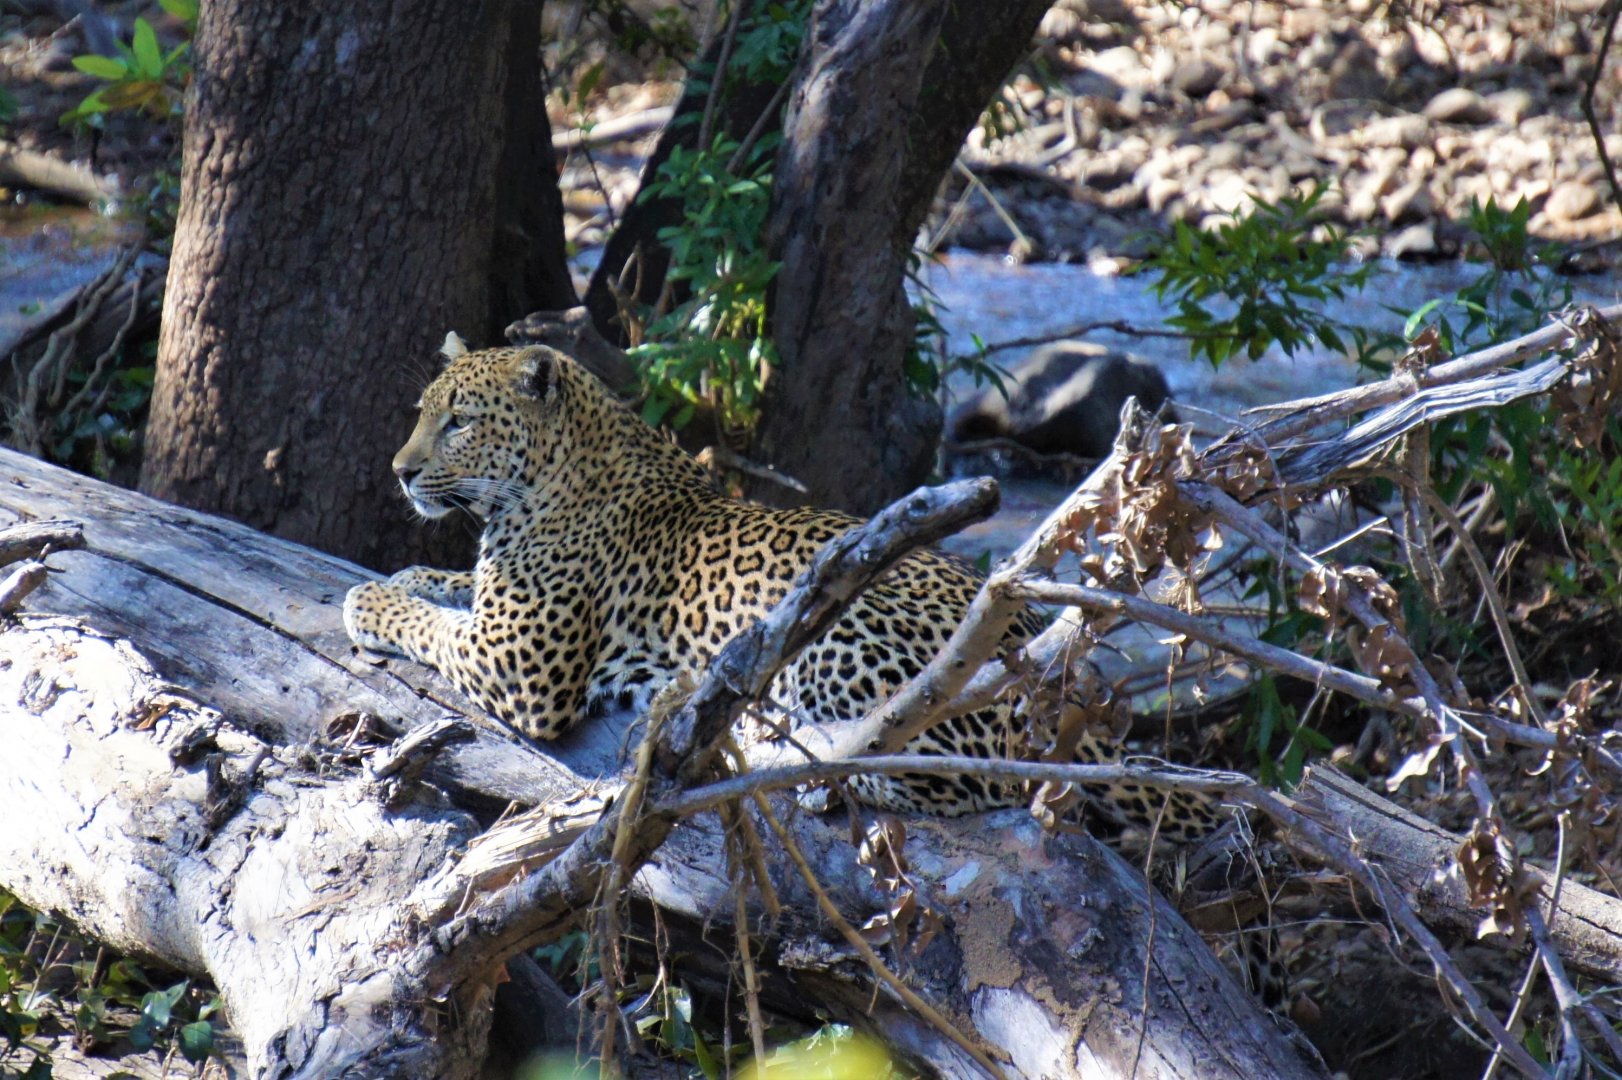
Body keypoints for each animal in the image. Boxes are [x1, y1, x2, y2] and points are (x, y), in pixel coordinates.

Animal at [342, 335, 1226, 837]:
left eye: (459, 421)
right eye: (423, 412)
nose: (399, 470)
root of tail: (1050, 669)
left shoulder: (522, 666)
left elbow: (423, 623)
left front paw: (367, 600)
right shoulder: (499, 612)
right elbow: (448, 587)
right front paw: (411, 575)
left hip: (849, 631)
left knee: (967, 772)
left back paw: (804, 764)